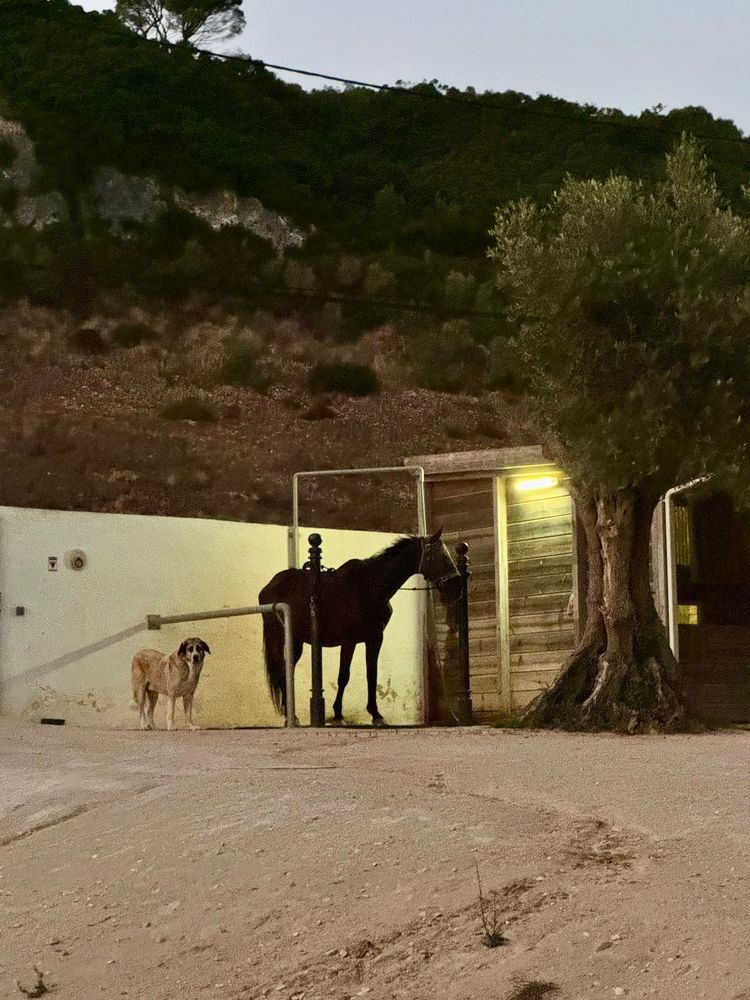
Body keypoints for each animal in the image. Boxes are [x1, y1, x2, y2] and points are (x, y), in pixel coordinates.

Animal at [259, 529, 461, 726]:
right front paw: (338, 715)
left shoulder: (375, 639)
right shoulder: (348, 641)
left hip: (296, 640)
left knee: (287, 669)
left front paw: (376, 714)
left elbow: (371, 675)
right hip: (280, 636)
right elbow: (343, 676)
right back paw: (290, 717)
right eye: (442, 556)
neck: (370, 587)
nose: (457, 588)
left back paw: (291, 716)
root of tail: (269, 586)